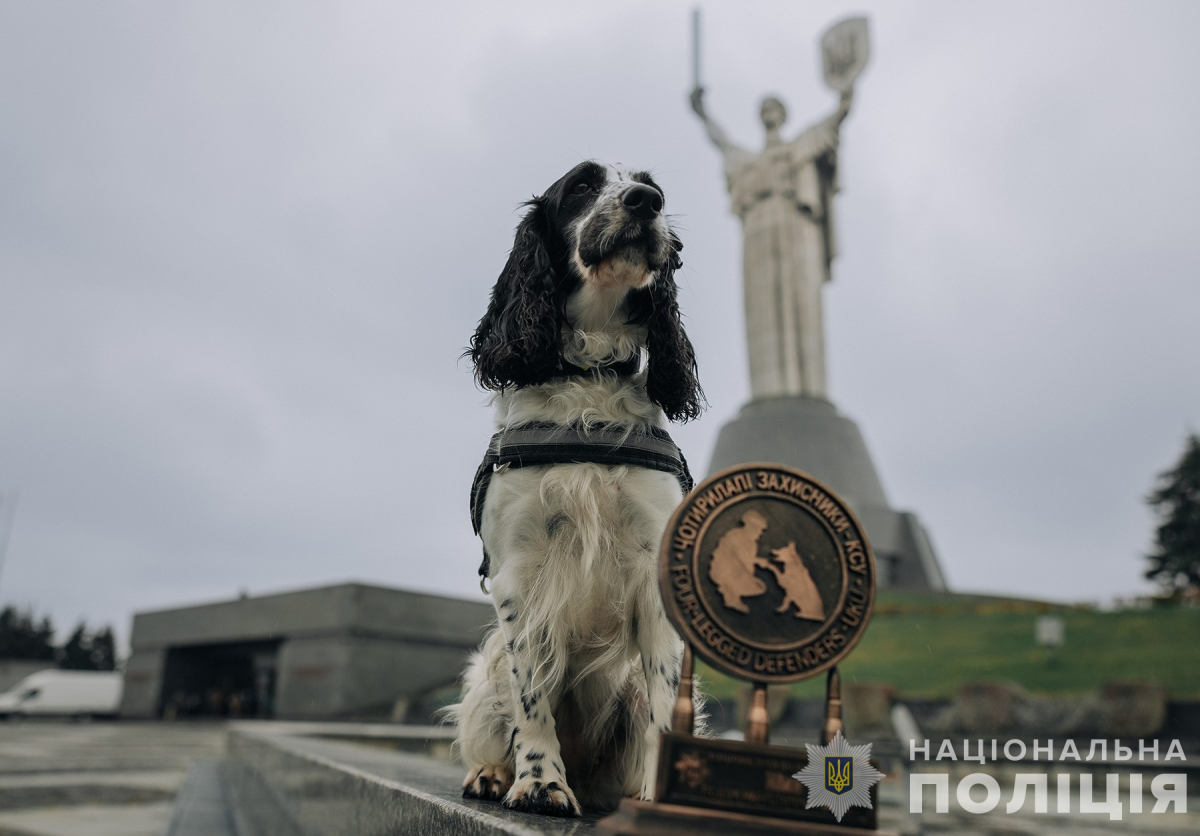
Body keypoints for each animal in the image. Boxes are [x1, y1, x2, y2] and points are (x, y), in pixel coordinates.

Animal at [444, 161, 700, 815]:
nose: (645, 200)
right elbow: (533, 699)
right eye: (582, 186)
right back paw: (493, 775)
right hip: (486, 674)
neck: (589, 377)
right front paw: (539, 782)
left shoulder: (655, 572)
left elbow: (666, 707)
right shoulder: (520, 573)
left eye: (653, 184)